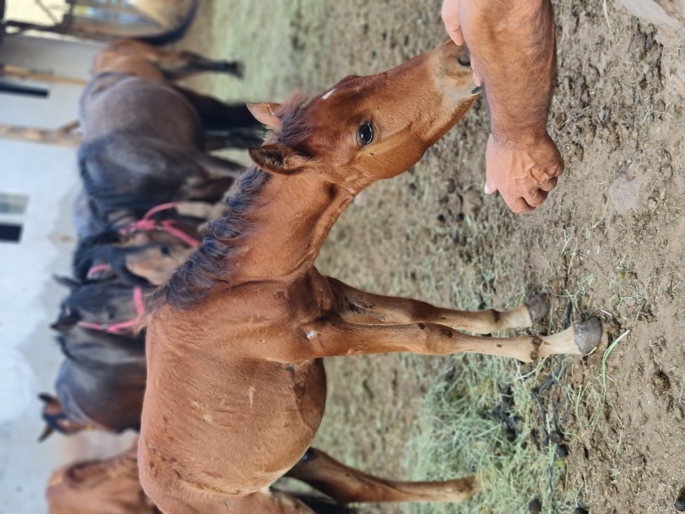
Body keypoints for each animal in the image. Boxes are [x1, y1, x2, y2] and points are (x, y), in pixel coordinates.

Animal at [138, 41, 600, 512]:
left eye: (352, 80)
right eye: (365, 133)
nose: (460, 56)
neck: (245, 287)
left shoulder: (334, 300)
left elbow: (418, 309)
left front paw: (523, 314)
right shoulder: (321, 338)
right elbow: (428, 336)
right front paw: (554, 342)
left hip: (306, 459)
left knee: (364, 488)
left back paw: (470, 485)